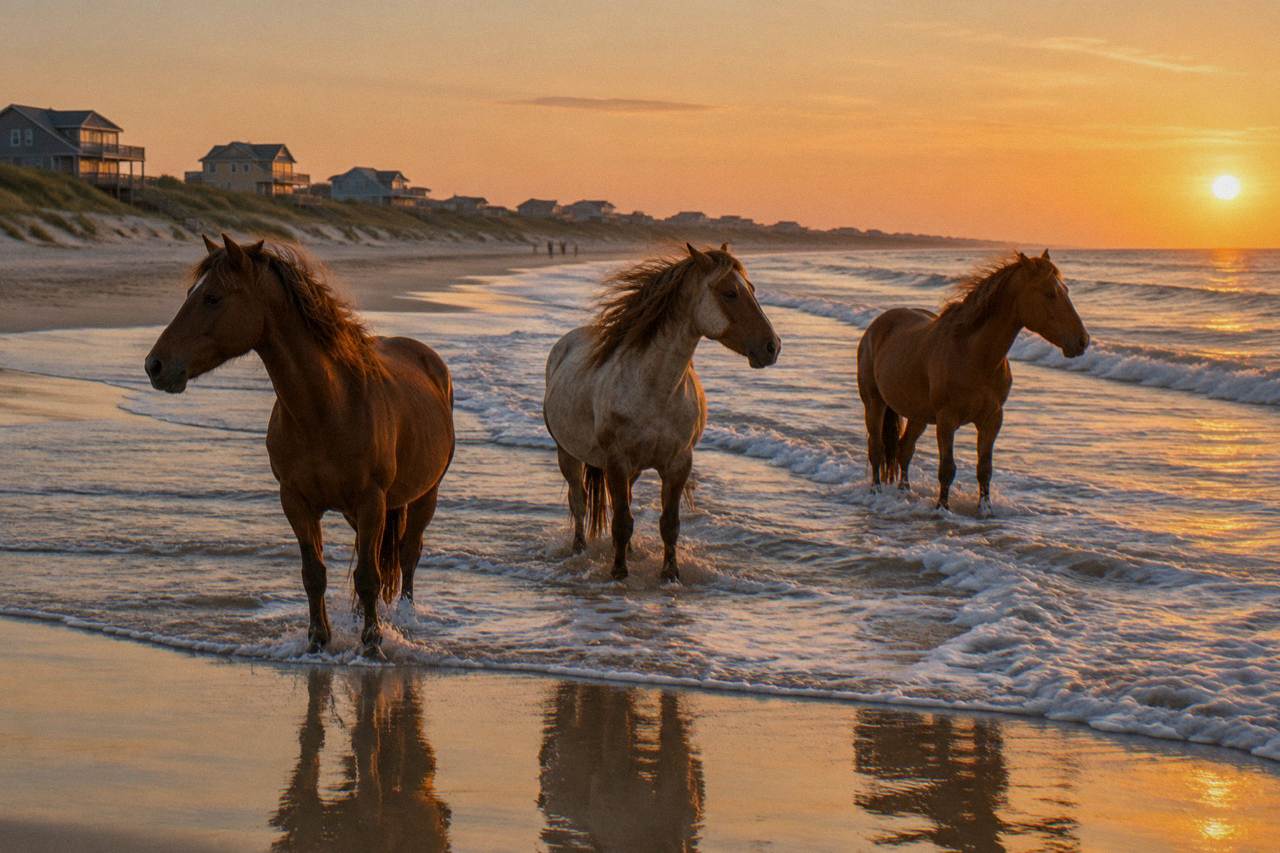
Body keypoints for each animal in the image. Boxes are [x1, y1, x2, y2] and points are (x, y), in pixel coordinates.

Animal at [144, 235, 454, 657]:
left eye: (212, 297)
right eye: (191, 293)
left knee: (408, 555)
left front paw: (372, 644)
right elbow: (315, 573)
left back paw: (404, 619)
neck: (328, 407)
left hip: (424, 496)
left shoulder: (371, 501)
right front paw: (318, 640)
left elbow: (369, 576)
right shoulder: (295, 500)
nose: (155, 365)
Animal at [543, 243, 781, 582]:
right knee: (579, 501)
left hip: (632, 469)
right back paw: (579, 550)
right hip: (568, 453)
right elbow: (620, 520)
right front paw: (618, 573)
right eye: (730, 293)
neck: (655, 388)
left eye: (752, 289)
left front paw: (670, 574)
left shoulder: (678, 463)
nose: (772, 347)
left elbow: (668, 524)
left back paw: (629, 552)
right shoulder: (616, 461)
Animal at [856, 250, 1089, 516]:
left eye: (1066, 290)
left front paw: (985, 509)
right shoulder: (946, 420)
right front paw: (942, 509)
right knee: (876, 448)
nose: (1082, 340)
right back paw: (875, 492)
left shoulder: (992, 419)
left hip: (918, 415)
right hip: (874, 403)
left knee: (905, 450)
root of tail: (877, 325)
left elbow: (984, 469)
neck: (972, 354)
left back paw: (904, 492)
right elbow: (947, 469)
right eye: (1049, 293)